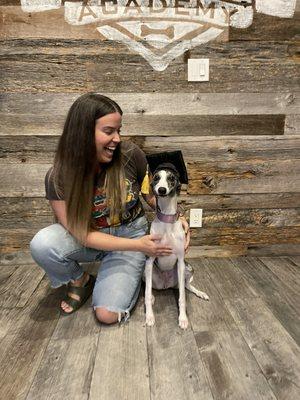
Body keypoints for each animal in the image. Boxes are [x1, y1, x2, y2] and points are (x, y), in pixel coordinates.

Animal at [145, 161, 209, 330]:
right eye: (156, 177)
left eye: (171, 178)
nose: (161, 190)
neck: (167, 221)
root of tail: (167, 285)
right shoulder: (149, 260)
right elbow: (146, 294)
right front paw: (149, 316)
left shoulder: (180, 261)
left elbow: (182, 298)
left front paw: (183, 319)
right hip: (147, 272)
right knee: (149, 288)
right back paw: (153, 297)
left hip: (187, 268)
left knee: (185, 286)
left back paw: (200, 293)